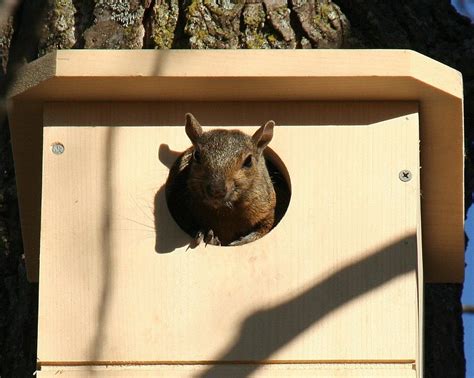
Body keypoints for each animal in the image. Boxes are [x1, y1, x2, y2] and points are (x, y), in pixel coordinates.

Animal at [167, 113, 278, 247]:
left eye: (248, 161)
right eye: (196, 155)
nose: (216, 190)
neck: (224, 211)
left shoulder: (267, 209)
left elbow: (264, 228)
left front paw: (243, 241)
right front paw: (205, 234)